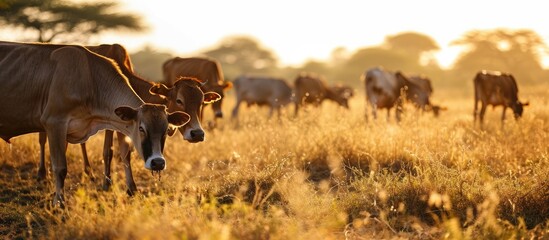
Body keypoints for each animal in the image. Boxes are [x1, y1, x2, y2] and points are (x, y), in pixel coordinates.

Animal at [0, 40, 189, 205]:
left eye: (166, 130)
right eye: (141, 129)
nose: (158, 162)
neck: (90, 79)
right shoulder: (54, 123)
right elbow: (60, 168)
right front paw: (59, 203)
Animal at [34, 43, 220, 193]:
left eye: (202, 102)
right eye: (179, 100)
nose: (197, 134)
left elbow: (125, 152)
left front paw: (130, 188)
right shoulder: (111, 122)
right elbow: (108, 151)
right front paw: (107, 184)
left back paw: (88, 171)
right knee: (43, 139)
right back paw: (42, 173)